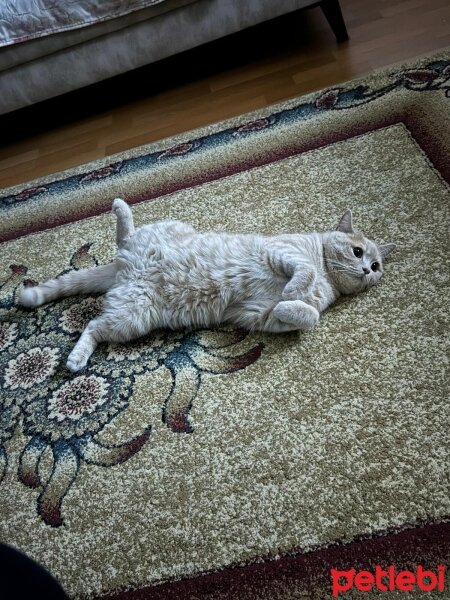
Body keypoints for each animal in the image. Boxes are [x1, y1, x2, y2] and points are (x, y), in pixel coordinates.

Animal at [19, 199, 396, 372]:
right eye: (357, 251)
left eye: (377, 265)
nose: (367, 270)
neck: (327, 275)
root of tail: (123, 268)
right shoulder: (283, 252)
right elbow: (300, 274)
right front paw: (293, 289)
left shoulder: (263, 316)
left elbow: (306, 315)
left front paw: (289, 301)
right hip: (145, 268)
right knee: (123, 238)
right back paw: (121, 209)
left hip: (133, 315)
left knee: (95, 325)